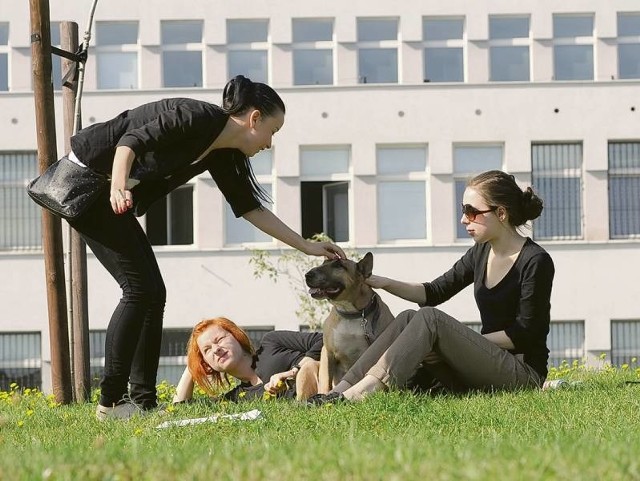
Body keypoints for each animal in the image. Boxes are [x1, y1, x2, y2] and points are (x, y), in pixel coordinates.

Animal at [302, 251, 392, 390]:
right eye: (323, 262)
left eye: (339, 265)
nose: (308, 274)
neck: (350, 313)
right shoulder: (327, 352)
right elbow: (326, 381)